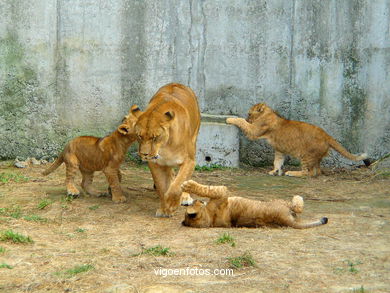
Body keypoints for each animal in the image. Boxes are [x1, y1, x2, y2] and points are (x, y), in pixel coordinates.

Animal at [134, 83, 201, 216]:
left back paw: (185, 197)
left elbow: (178, 185)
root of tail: (177, 83)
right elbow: (161, 186)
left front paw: (172, 204)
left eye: (155, 137)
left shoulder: (189, 161)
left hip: (195, 138)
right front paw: (165, 208)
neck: (164, 147)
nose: (144, 154)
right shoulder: (155, 164)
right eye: (139, 136)